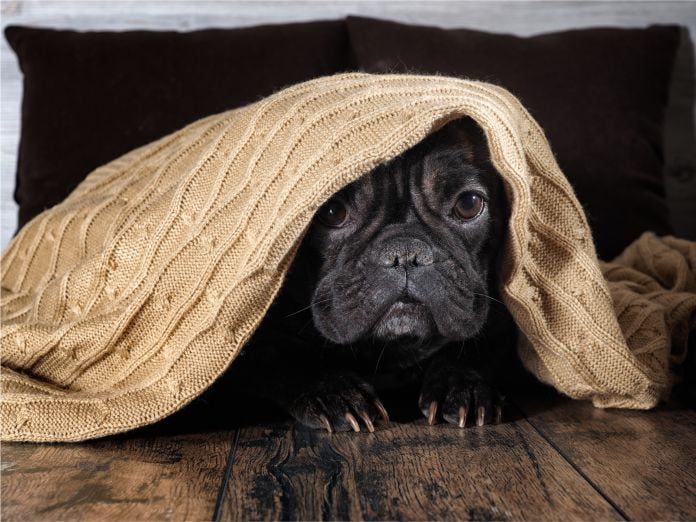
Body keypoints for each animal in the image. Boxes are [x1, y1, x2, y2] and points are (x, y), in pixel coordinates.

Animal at [230, 117, 516, 430]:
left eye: (468, 204)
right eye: (332, 212)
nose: (405, 253)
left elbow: (476, 348)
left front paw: (463, 385)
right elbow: (283, 355)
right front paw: (334, 391)